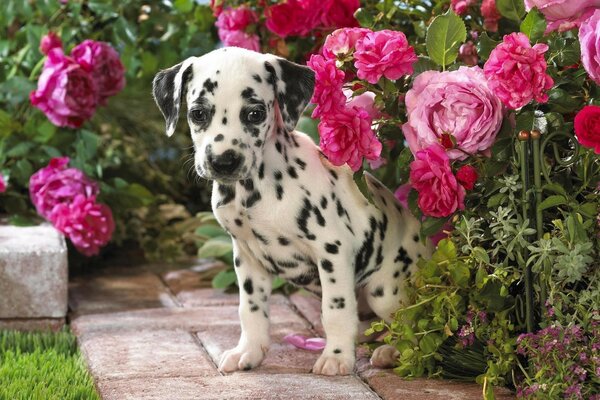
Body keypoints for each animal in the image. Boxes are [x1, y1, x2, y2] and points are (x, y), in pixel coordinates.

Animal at [151, 47, 432, 376]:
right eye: (198, 113)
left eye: (255, 114)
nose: (224, 161)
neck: (255, 191)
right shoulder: (246, 257)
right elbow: (251, 310)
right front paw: (248, 351)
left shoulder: (333, 250)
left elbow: (335, 310)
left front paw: (337, 356)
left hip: (384, 292)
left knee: (413, 328)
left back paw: (393, 352)